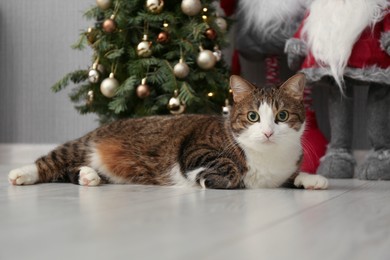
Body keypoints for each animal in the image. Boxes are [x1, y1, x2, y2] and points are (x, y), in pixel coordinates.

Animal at [7, 73, 328, 189]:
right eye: (252, 116)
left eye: (282, 116)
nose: (268, 133)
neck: (267, 157)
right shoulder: (197, 147)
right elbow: (227, 167)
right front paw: (210, 179)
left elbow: (292, 176)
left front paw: (311, 179)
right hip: (80, 146)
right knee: (51, 161)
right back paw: (21, 173)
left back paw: (88, 175)